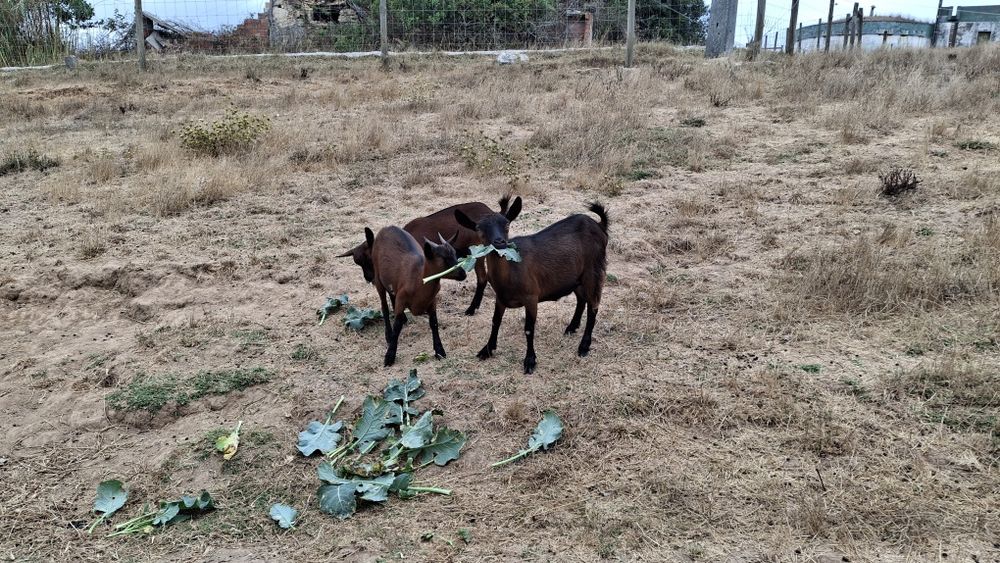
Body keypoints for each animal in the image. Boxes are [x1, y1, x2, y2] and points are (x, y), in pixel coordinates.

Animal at [338, 199, 510, 315]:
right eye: (358, 262)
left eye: (369, 259)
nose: (369, 278)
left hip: (478, 253)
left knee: (482, 278)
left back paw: (472, 308)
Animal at [367, 226, 466, 367]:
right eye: (444, 258)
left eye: (455, 254)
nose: (463, 274)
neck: (419, 279)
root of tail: (386, 228)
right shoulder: (402, 299)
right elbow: (397, 325)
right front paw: (389, 356)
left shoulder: (432, 301)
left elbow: (434, 323)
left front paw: (439, 351)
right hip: (378, 278)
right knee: (384, 307)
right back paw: (388, 335)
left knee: (392, 295)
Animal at [455, 197, 609, 374]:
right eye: (479, 229)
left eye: (507, 225)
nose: (500, 242)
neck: (511, 272)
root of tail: (599, 225)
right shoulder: (500, 297)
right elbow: (495, 321)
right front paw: (486, 350)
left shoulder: (531, 297)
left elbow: (528, 329)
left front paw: (530, 361)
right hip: (576, 277)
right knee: (581, 299)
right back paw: (571, 328)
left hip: (594, 270)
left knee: (593, 306)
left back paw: (583, 346)